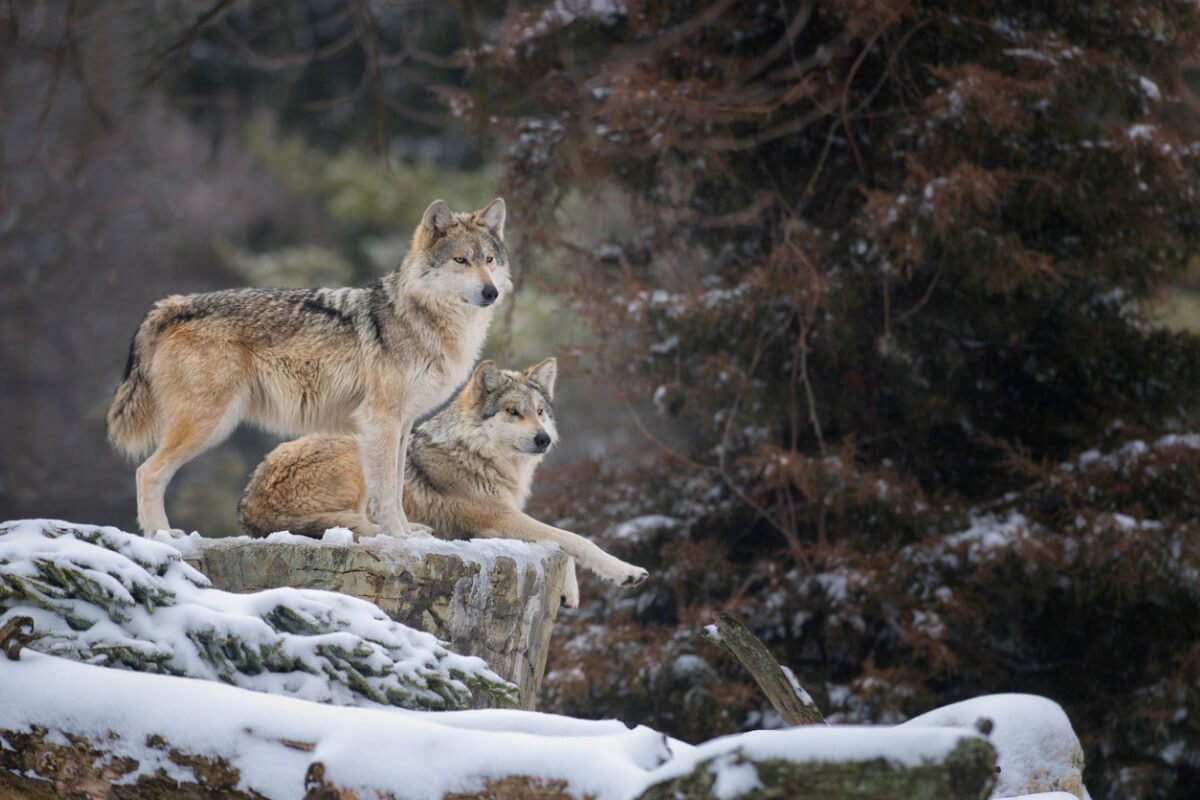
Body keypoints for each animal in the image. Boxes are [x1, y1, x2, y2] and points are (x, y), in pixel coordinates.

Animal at [107, 198, 509, 537]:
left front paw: (409, 533)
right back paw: (161, 535)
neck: (424, 320)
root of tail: (174, 303)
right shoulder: (380, 420)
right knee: (147, 472)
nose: (491, 293)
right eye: (461, 260)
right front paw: (398, 537)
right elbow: (386, 492)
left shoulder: (403, 423)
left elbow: (396, 488)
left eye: (489, 259)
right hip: (210, 424)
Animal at [238, 358, 649, 603]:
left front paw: (569, 591)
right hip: (361, 452)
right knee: (367, 527)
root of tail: (250, 504)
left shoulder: (501, 520)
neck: (478, 455)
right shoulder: (497, 518)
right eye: (512, 412)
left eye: (539, 411)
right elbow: (573, 539)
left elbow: (560, 540)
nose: (543, 439)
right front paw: (627, 572)